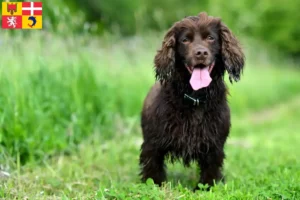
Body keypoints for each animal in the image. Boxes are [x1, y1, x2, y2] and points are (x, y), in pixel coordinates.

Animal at [139, 12, 245, 191]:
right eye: (185, 40)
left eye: (210, 37)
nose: (201, 53)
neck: (195, 97)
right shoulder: (152, 144)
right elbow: (153, 169)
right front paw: (155, 186)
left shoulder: (214, 145)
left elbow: (211, 170)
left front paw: (206, 187)